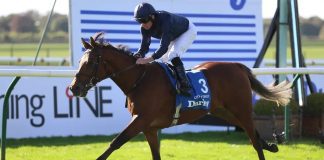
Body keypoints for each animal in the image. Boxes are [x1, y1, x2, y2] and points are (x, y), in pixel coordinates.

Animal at [69, 32, 292, 160]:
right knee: (253, 133)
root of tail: (237, 66)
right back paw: (271, 145)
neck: (140, 80)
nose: (74, 88)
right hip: (224, 111)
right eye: (80, 61)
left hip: (241, 108)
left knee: (254, 140)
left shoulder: (141, 120)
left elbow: (116, 142)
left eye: (90, 62)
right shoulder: (150, 128)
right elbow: (155, 155)